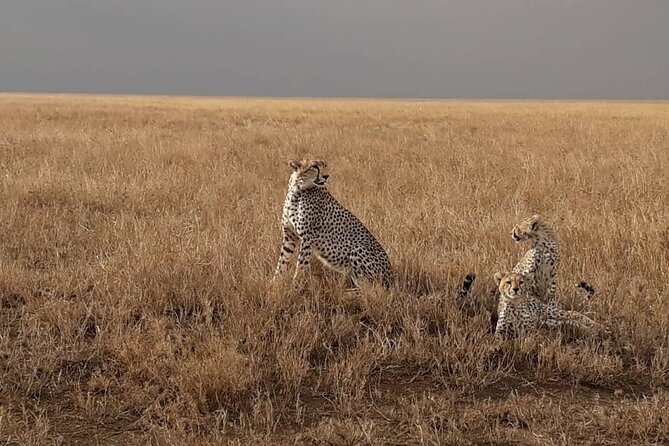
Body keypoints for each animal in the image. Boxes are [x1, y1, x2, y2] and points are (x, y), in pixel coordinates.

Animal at [272, 158, 392, 290]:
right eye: (315, 166)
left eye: (325, 165)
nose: (326, 176)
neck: (297, 191)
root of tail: (392, 277)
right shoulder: (290, 236)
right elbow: (282, 262)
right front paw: (274, 283)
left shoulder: (307, 239)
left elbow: (301, 266)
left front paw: (294, 288)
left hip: (357, 249)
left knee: (370, 289)